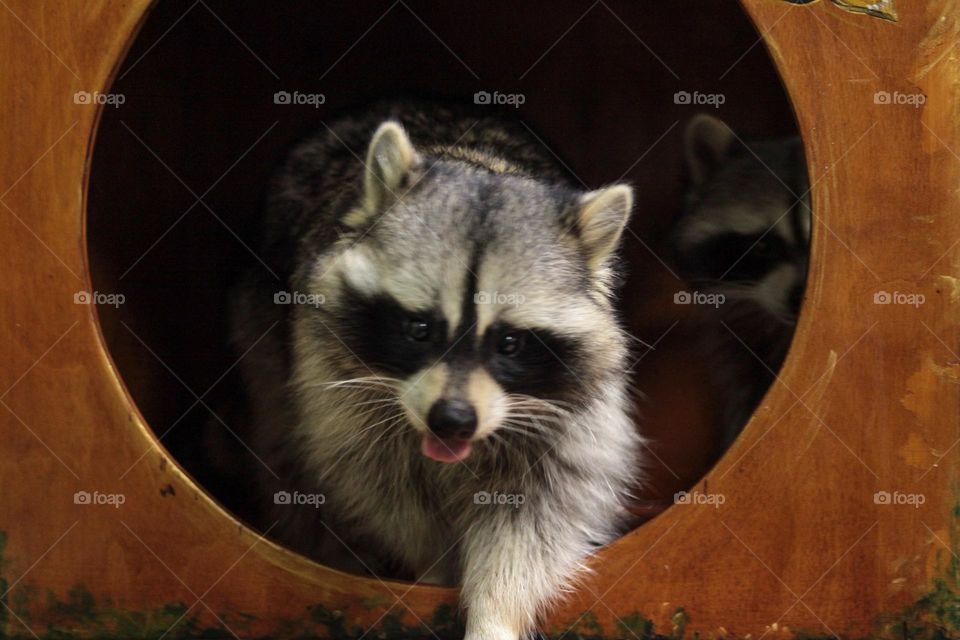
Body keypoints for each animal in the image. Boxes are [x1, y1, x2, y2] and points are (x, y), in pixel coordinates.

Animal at [230, 100, 641, 640]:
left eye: (509, 343)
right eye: (420, 329)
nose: (452, 420)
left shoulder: (569, 421)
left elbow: (532, 521)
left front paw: (494, 614)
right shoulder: (338, 392)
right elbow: (386, 493)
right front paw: (436, 568)